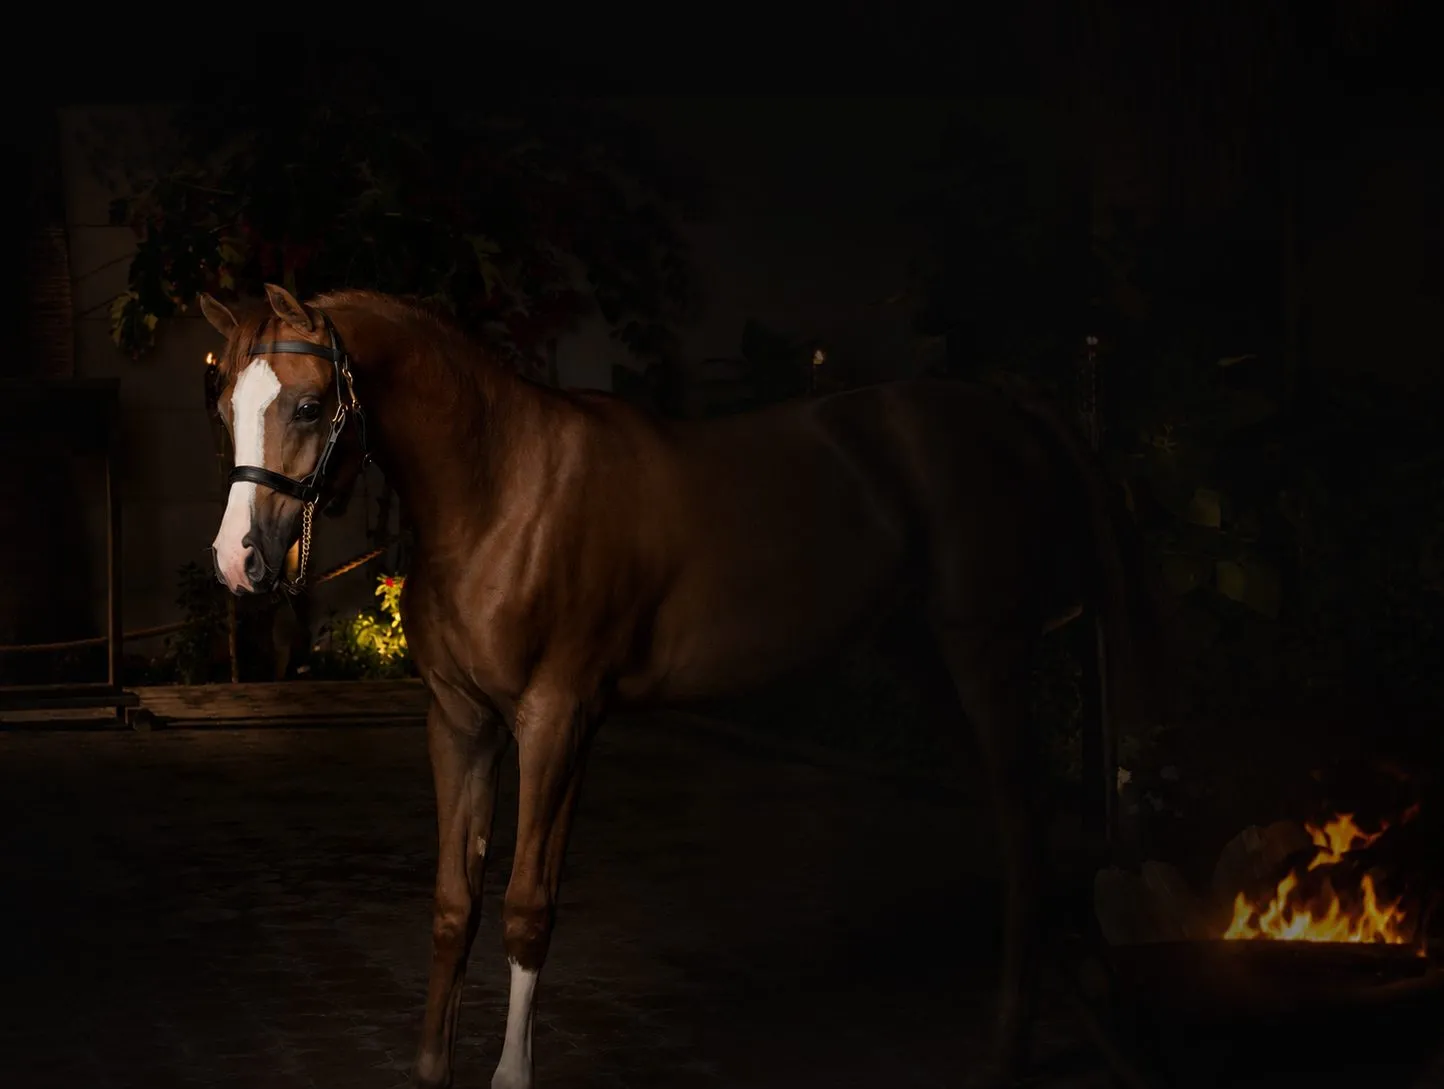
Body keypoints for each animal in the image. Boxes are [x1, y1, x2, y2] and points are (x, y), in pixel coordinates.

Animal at [197, 283, 1157, 1088]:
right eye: (225, 406)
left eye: (310, 405)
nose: (240, 562)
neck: (501, 486)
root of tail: (1006, 405)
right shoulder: (460, 721)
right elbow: (452, 902)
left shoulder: (557, 721)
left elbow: (526, 906)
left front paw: (512, 1072)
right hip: (930, 667)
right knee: (1014, 825)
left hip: (988, 657)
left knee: (1026, 827)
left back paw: (1013, 1042)